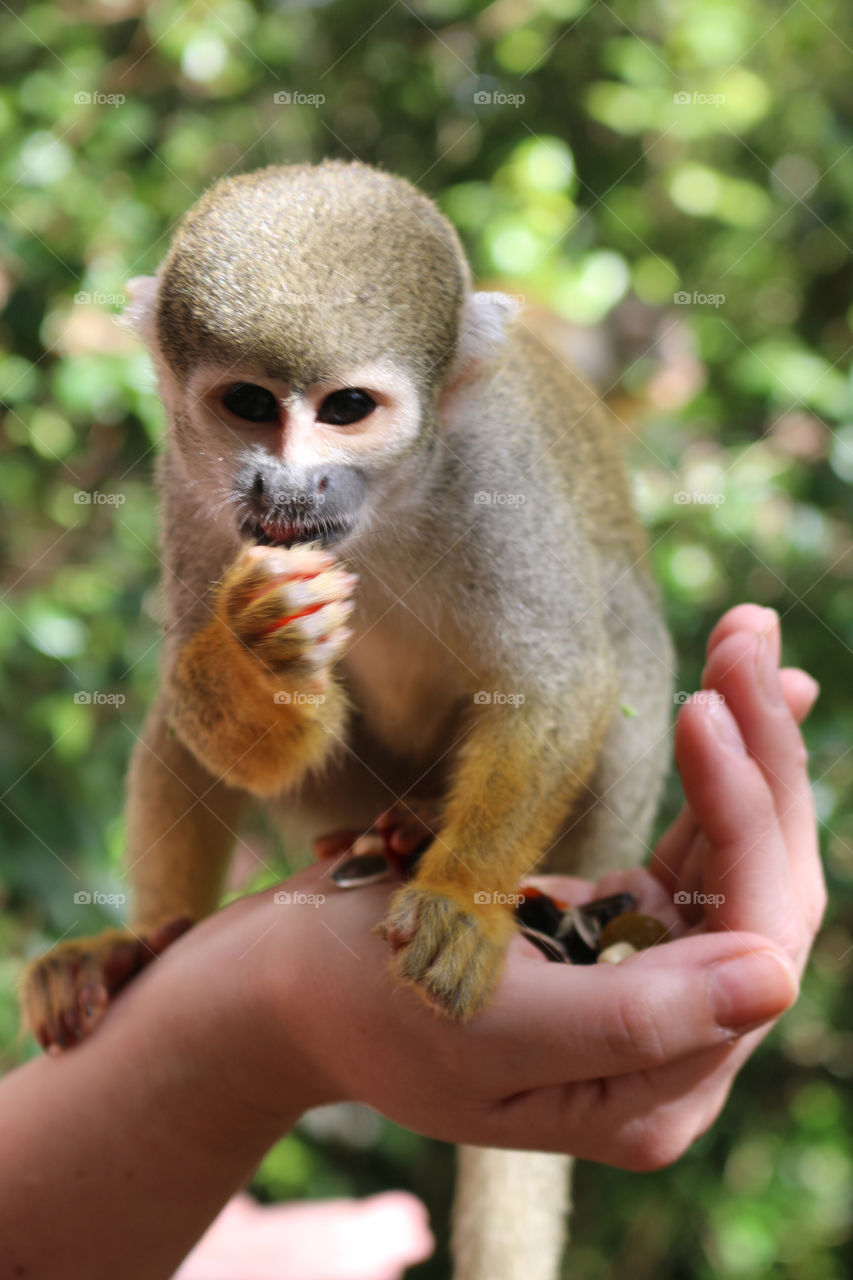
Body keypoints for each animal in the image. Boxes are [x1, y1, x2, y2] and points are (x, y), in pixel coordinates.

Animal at [20, 160, 673, 1280]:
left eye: (347, 409)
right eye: (247, 405)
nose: (284, 480)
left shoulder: (496, 462)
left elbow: (556, 678)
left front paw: (460, 898)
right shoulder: (189, 478)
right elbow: (217, 708)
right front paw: (259, 648)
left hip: (601, 828)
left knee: (621, 632)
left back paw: (429, 850)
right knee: (183, 722)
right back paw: (142, 945)